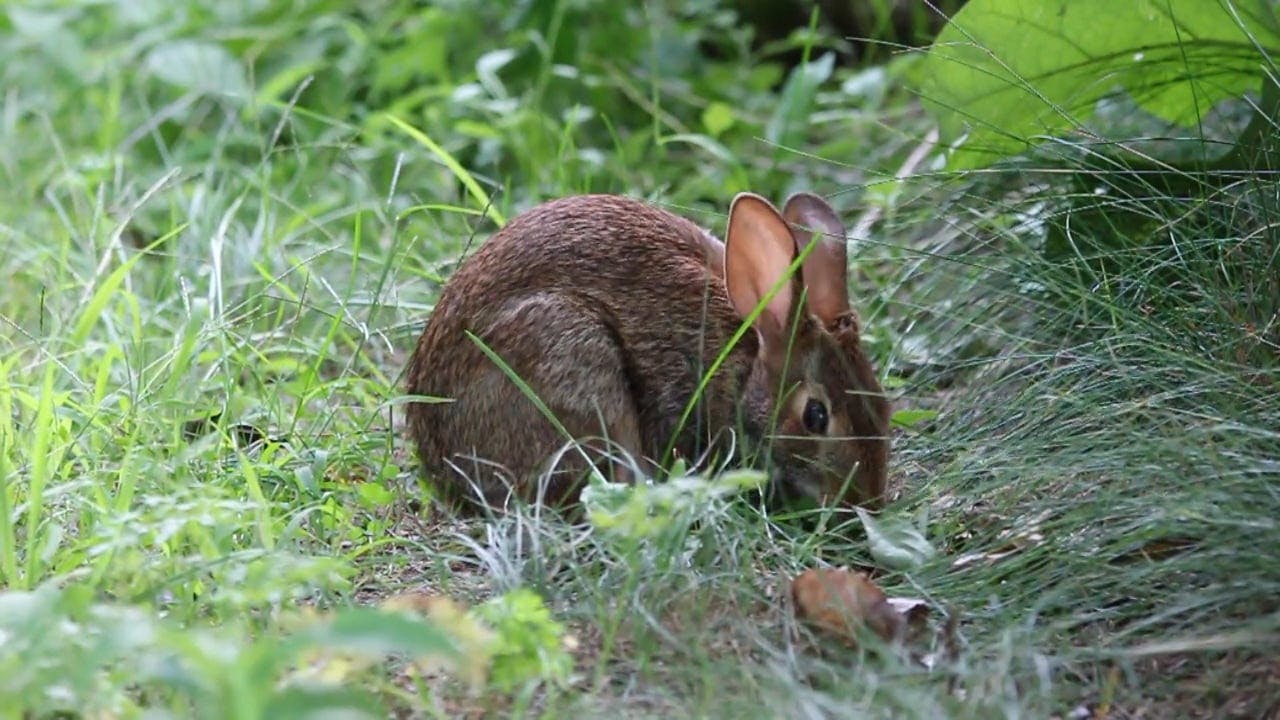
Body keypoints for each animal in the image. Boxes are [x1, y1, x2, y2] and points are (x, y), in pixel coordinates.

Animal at [407, 190, 890, 509]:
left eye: (884, 405)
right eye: (816, 416)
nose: (865, 501)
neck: (742, 366)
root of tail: (441, 469)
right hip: (573, 362)